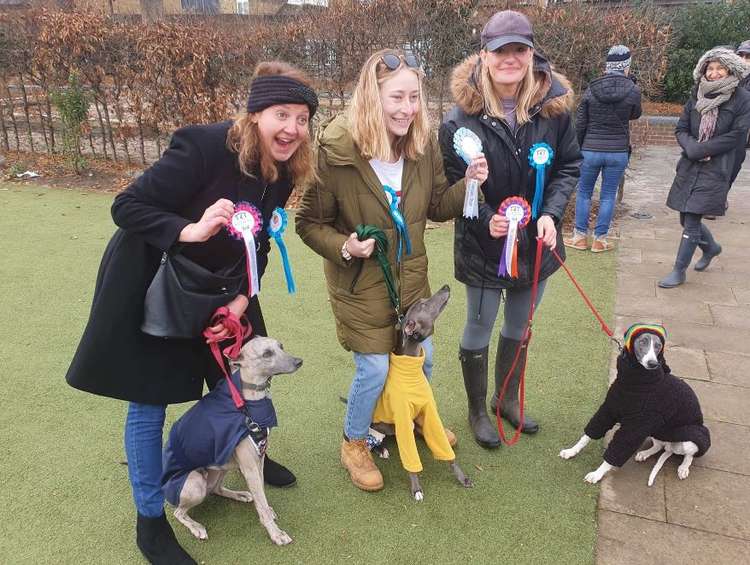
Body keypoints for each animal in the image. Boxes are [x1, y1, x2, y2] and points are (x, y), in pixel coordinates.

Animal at [560, 324, 712, 486]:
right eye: (643, 341)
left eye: (658, 346)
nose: (653, 364)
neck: (634, 385)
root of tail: (670, 447)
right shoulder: (609, 409)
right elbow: (588, 435)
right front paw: (571, 451)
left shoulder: (636, 426)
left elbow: (615, 453)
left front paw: (597, 474)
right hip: (654, 431)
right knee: (658, 446)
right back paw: (644, 454)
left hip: (690, 438)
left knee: (689, 455)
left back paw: (683, 468)